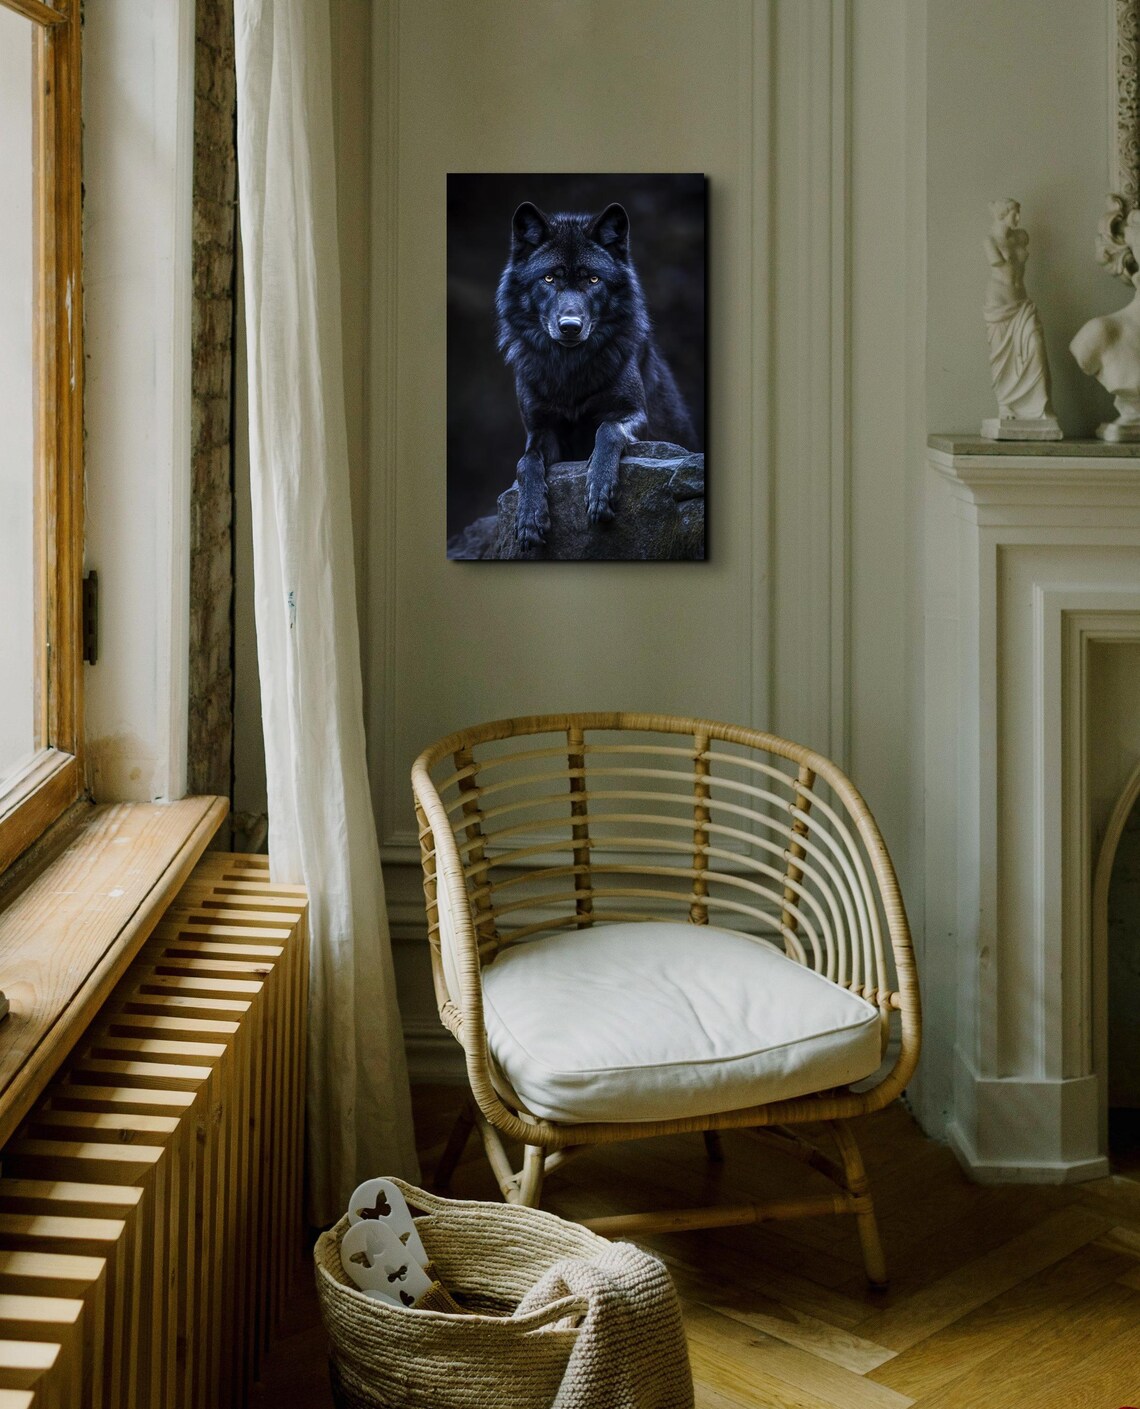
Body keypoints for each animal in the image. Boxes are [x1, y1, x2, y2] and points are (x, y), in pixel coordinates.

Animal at [495, 201, 696, 551]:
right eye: (549, 278)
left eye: (592, 279)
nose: (570, 327)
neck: (570, 371)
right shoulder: (540, 430)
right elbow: (526, 462)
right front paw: (530, 517)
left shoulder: (635, 414)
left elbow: (608, 429)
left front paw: (599, 489)